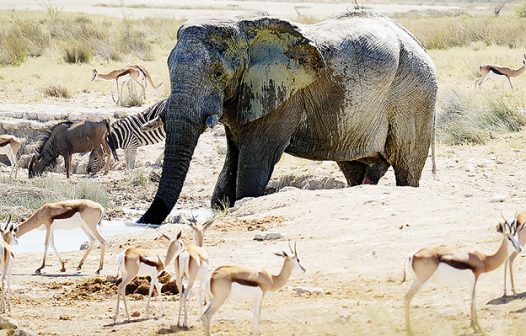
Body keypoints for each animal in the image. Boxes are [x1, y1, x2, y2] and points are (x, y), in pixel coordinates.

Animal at [138, 11, 440, 224]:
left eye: (218, 74)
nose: (143, 223)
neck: (245, 29)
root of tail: (415, 41)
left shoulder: (282, 96)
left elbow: (255, 160)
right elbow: (232, 161)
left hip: (415, 94)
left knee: (406, 167)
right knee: (356, 169)